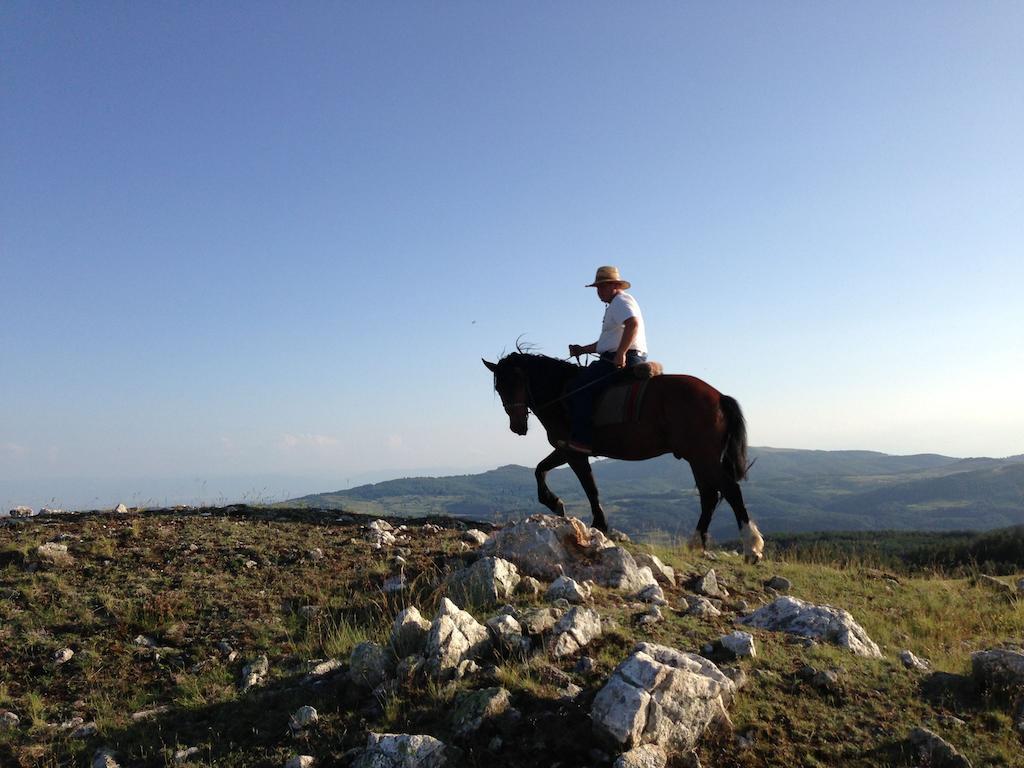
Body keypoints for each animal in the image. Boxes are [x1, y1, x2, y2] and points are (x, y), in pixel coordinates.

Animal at [483, 354, 765, 565]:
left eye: (516, 384)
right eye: (499, 387)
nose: (517, 426)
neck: (561, 394)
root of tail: (718, 396)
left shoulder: (574, 451)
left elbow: (588, 487)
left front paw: (595, 522)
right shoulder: (565, 450)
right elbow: (541, 470)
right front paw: (555, 503)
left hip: (703, 456)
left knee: (730, 490)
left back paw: (751, 546)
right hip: (697, 458)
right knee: (710, 496)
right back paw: (696, 543)